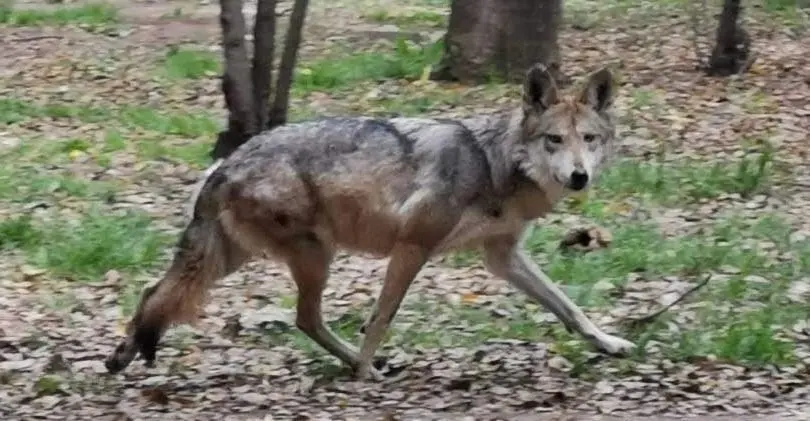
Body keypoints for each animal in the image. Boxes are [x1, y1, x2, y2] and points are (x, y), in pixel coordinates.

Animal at [104, 63, 636, 380]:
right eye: (553, 140)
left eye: (588, 139)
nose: (579, 177)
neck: (493, 162)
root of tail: (225, 163)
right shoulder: (413, 247)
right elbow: (381, 318)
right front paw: (363, 374)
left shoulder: (503, 257)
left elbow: (569, 307)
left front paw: (609, 343)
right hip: (312, 256)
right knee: (303, 317)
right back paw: (363, 368)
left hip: (241, 258)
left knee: (155, 292)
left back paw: (121, 356)